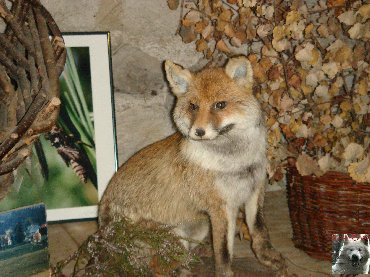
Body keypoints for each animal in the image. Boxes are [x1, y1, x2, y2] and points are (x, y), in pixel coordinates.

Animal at [98, 55, 286, 274]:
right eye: (194, 106)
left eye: (220, 105)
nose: (199, 132)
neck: (237, 163)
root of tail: (103, 233)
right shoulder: (221, 207)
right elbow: (223, 250)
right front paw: (225, 273)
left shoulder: (254, 191)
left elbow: (259, 230)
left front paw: (267, 258)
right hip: (175, 240)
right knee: (159, 269)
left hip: (199, 226)